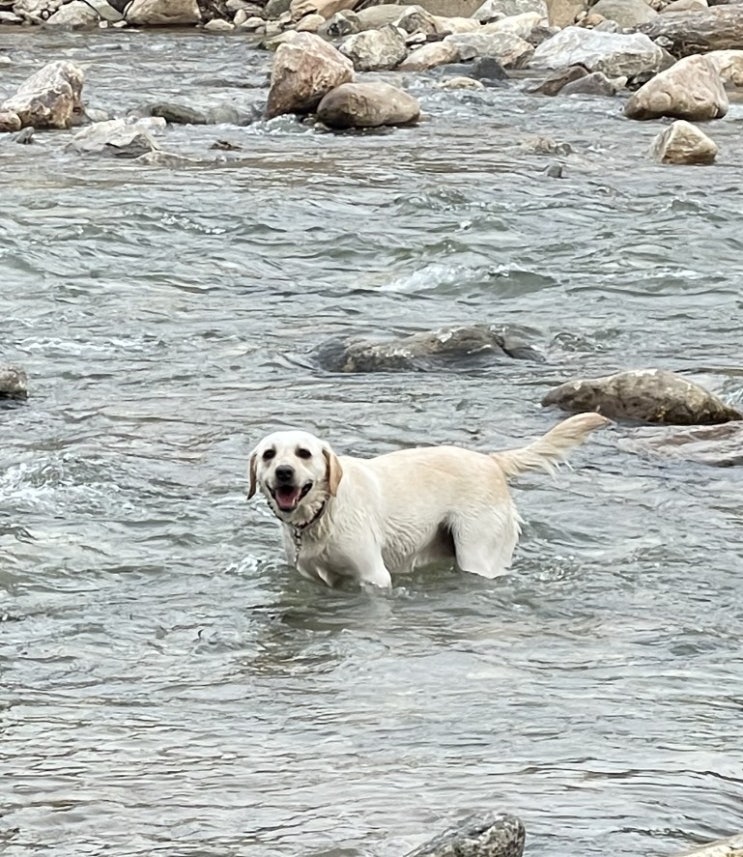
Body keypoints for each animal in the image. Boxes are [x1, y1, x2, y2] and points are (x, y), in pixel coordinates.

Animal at [247, 412, 608, 588]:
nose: (283, 472)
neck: (322, 514)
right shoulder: (310, 576)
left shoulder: (374, 575)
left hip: (478, 552)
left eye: (303, 453)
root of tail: (491, 461)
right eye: (268, 455)